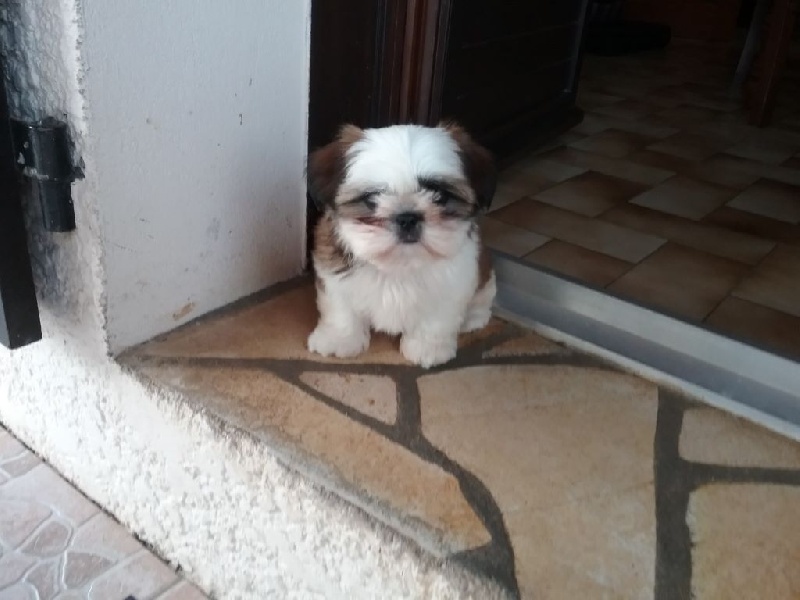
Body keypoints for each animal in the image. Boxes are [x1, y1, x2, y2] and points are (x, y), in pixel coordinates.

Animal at [305, 122, 497, 368]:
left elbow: (437, 318)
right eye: (372, 198)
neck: (399, 265)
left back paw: (472, 318)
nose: (407, 217)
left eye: (439, 195)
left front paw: (427, 348)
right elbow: (341, 310)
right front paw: (339, 340)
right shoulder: (334, 279)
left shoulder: (453, 284)